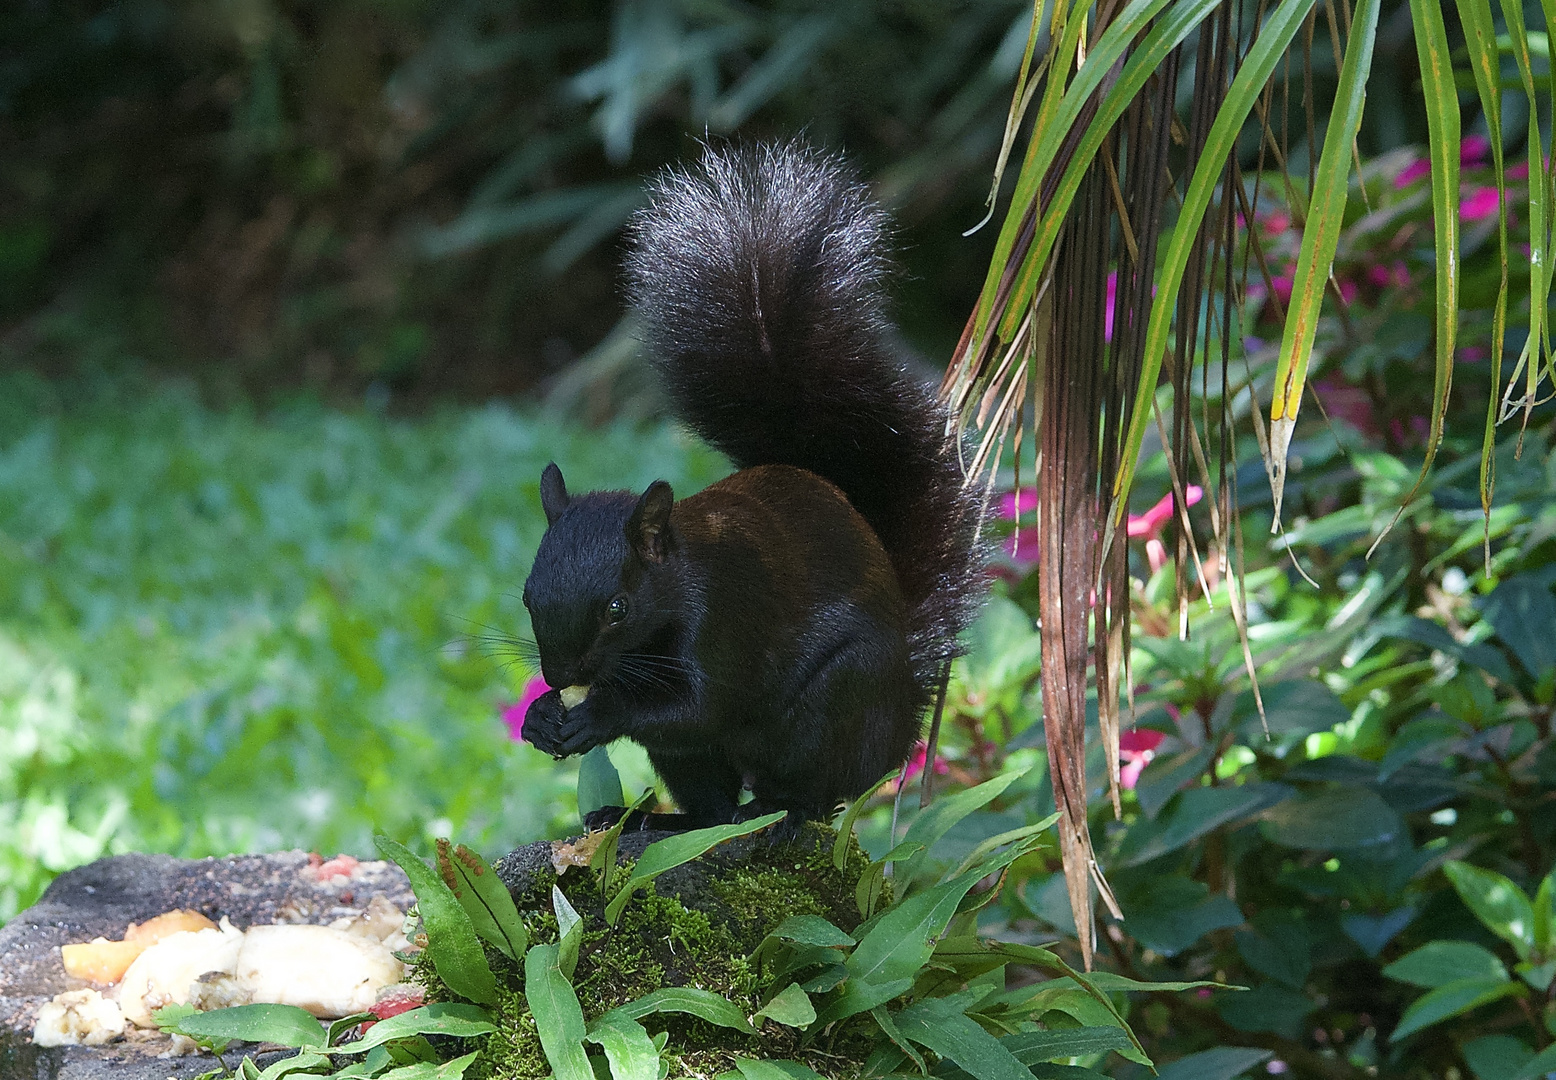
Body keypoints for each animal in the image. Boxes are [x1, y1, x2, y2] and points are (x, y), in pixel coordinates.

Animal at [519, 141, 983, 840]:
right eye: (525, 597)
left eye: (618, 608)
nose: (562, 675)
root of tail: (903, 724)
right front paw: (544, 714)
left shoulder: (727, 620)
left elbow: (698, 706)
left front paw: (596, 714)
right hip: (701, 763)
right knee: (711, 807)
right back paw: (652, 824)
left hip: (836, 703)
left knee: (814, 790)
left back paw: (782, 813)